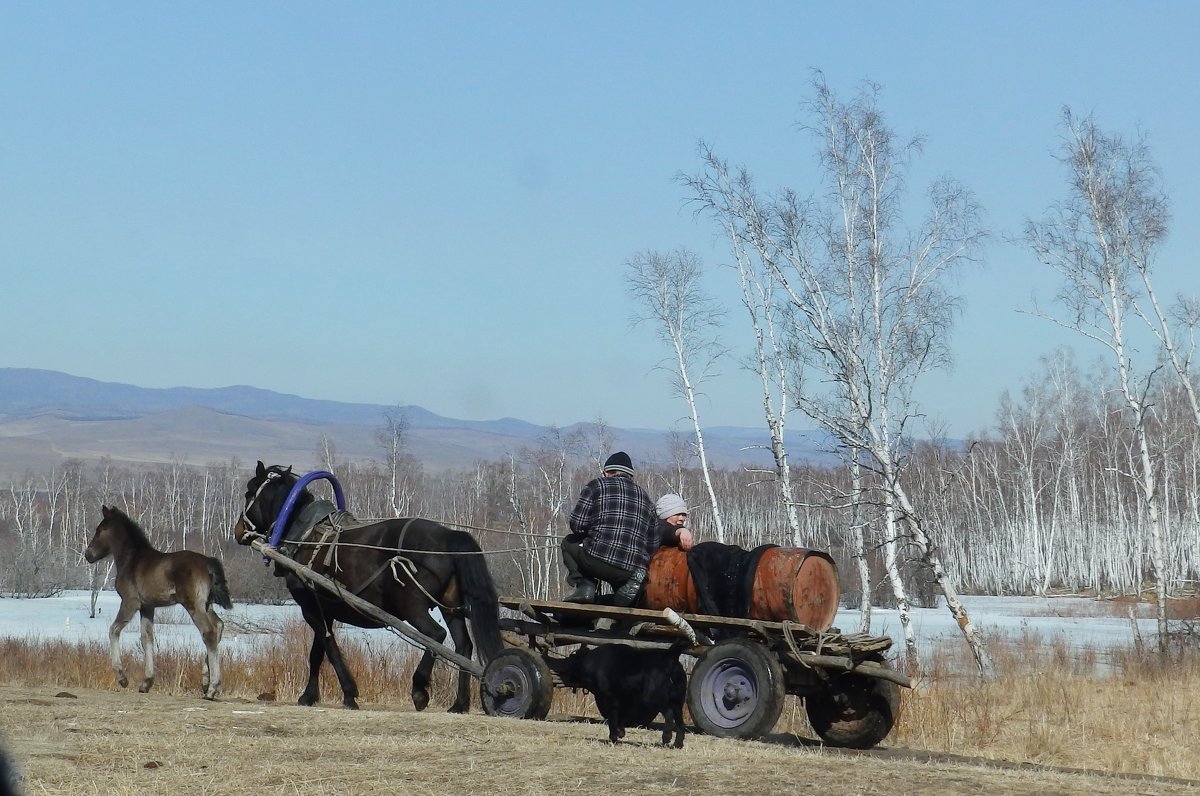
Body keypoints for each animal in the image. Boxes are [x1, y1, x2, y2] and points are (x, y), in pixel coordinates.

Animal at [83, 506, 232, 701]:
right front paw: (146, 682)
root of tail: (208, 562)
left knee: (209, 632)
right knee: (218, 625)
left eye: (99, 530)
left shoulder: (130, 602)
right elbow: (147, 638)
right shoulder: (148, 607)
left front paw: (122, 678)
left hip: (194, 605)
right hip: (206, 605)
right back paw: (206, 683)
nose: (88, 555)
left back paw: (212, 688)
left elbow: (113, 630)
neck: (131, 559)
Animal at [231, 463, 504, 710]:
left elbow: (329, 648)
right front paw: (309, 696)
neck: (306, 534)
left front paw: (349, 693)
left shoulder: (310, 607)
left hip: (412, 605)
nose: (238, 530)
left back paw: (419, 690)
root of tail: (448, 535)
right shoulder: (324, 610)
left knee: (435, 636)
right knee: (463, 646)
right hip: (450, 606)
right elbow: (317, 652)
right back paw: (460, 703)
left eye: (248, 493)